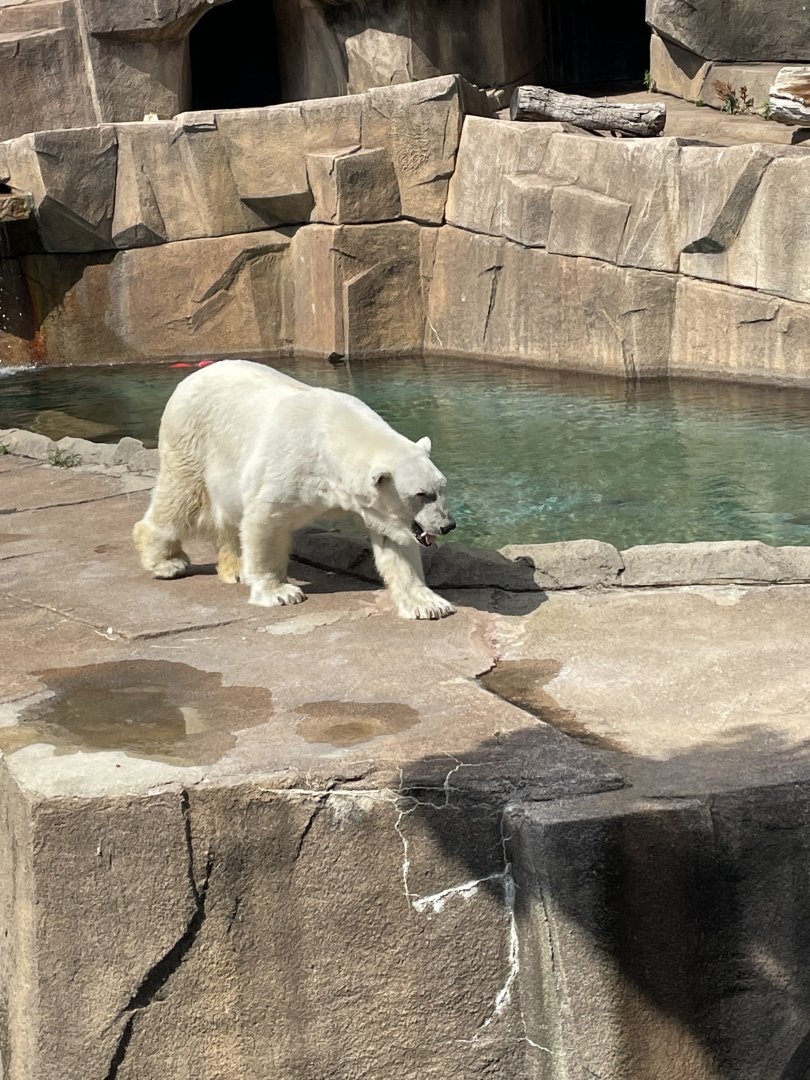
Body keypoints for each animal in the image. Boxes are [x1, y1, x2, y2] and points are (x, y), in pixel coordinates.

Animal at [132, 359, 457, 620]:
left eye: (441, 488)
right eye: (420, 494)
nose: (447, 525)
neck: (333, 437)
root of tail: (192, 377)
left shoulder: (372, 506)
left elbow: (395, 542)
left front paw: (429, 604)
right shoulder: (287, 468)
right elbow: (264, 520)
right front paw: (278, 592)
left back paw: (234, 568)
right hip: (192, 441)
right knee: (181, 498)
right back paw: (166, 562)